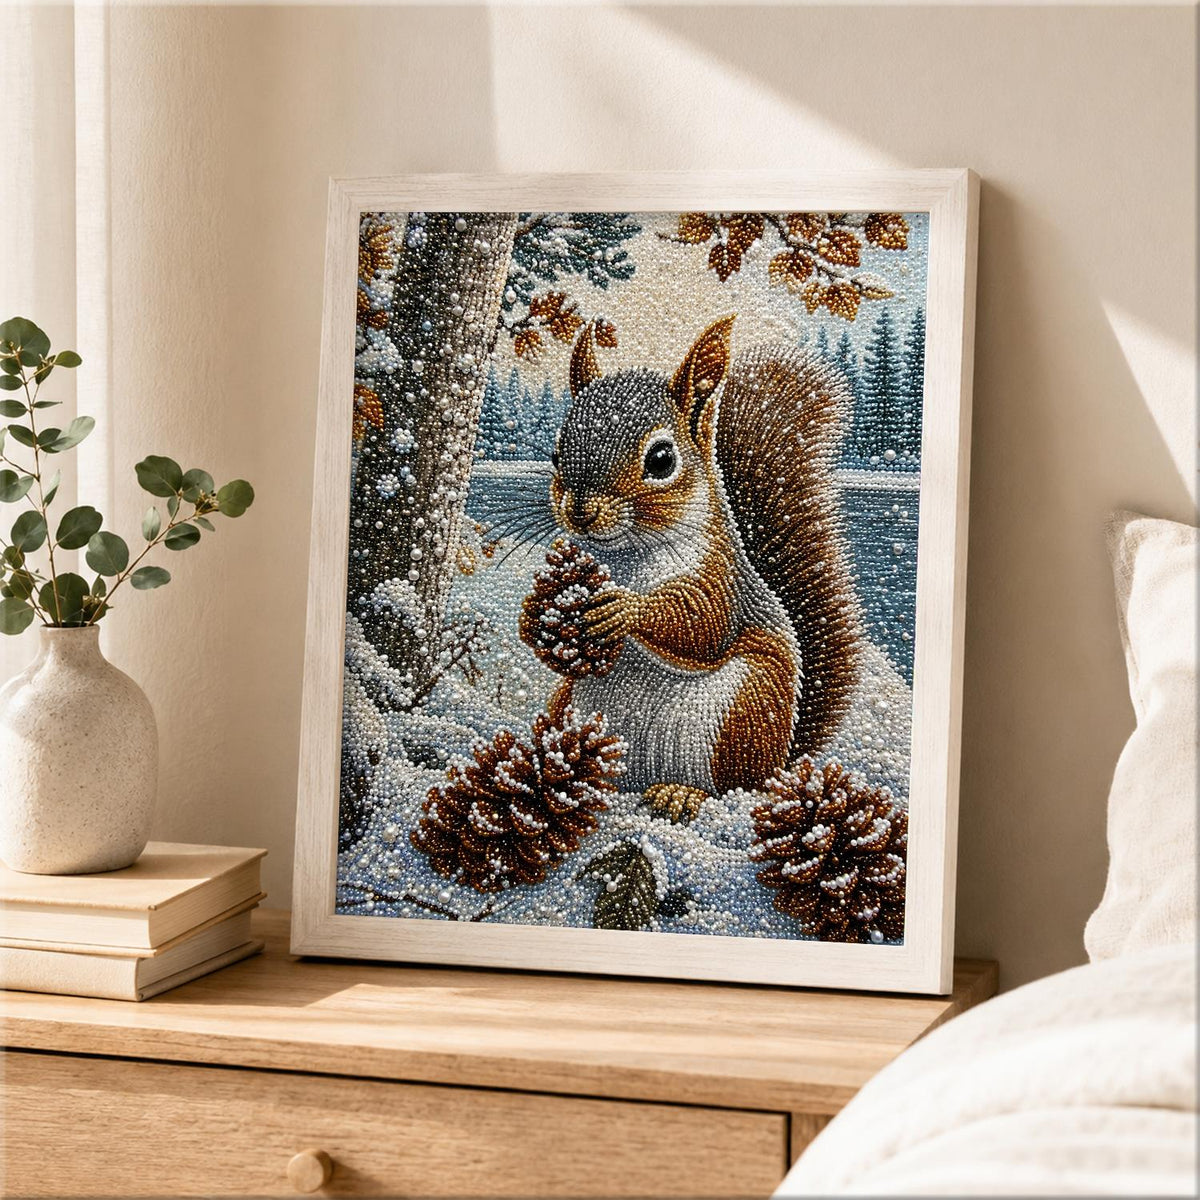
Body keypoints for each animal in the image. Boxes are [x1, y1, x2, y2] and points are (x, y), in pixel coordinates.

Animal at [521, 315, 862, 823]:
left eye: (662, 459)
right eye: (557, 452)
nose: (579, 511)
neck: (625, 556)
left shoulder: (718, 577)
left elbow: (700, 625)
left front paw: (622, 608)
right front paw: (537, 616)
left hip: (742, 715)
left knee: (734, 786)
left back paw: (682, 794)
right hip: (569, 706)